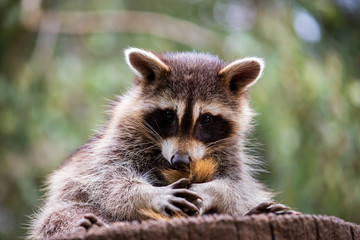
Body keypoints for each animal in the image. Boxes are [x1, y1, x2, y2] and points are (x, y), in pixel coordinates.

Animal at [29, 47, 282, 239]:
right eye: (169, 114)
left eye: (206, 119)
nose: (180, 161)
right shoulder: (121, 136)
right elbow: (110, 180)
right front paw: (149, 194)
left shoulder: (230, 148)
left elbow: (238, 187)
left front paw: (212, 190)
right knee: (60, 215)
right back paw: (91, 224)